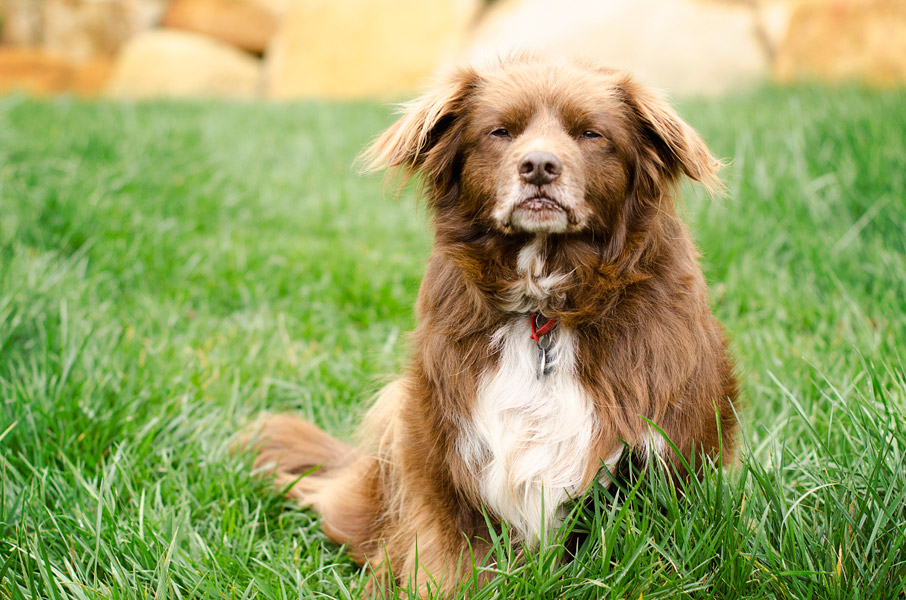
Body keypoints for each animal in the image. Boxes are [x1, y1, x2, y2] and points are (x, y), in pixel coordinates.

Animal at [251, 57, 740, 596]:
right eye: (501, 132)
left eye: (591, 134)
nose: (540, 166)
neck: (543, 309)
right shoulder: (439, 445)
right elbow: (444, 559)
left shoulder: (661, 455)